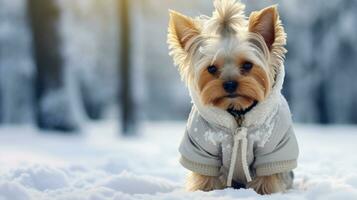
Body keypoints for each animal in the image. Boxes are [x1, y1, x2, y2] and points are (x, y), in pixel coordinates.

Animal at [166, 0, 298, 195]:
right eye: (211, 68)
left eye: (248, 65)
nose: (229, 84)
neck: (238, 112)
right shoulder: (201, 148)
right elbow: (205, 175)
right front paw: (205, 192)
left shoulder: (273, 147)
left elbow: (267, 175)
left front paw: (264, 193)